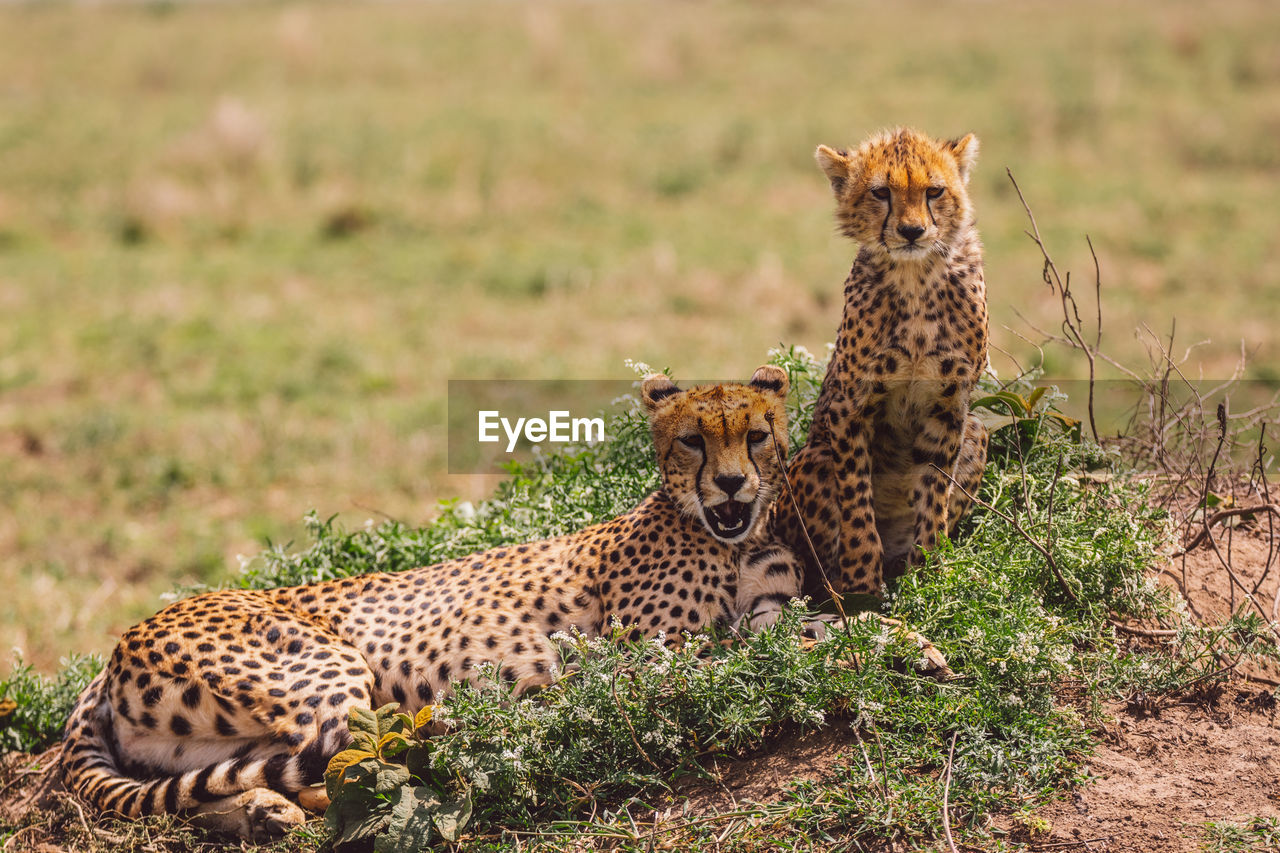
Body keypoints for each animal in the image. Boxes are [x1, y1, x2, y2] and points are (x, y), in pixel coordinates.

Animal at [57, 366, 819, 835]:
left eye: (756, 435)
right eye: (692, 440)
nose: (730, 484)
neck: (732, 536)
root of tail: (120, 641)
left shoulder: (763, 609)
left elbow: (790, 635)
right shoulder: (648, 655)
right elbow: (743, 660)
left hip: (207, 745)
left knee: (200, 791)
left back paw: (260, 812)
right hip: (331, 673)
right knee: (340, 765)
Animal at [768, 126, 988, 594]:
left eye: (934, 191)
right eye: (881, 192)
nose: (912, 231)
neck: (916, 277)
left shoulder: (950, 401)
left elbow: (934, 493)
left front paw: (929, 574)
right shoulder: (851, 403)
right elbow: (855, 500)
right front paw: (861, 584)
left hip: (977, 432)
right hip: (814, 458)